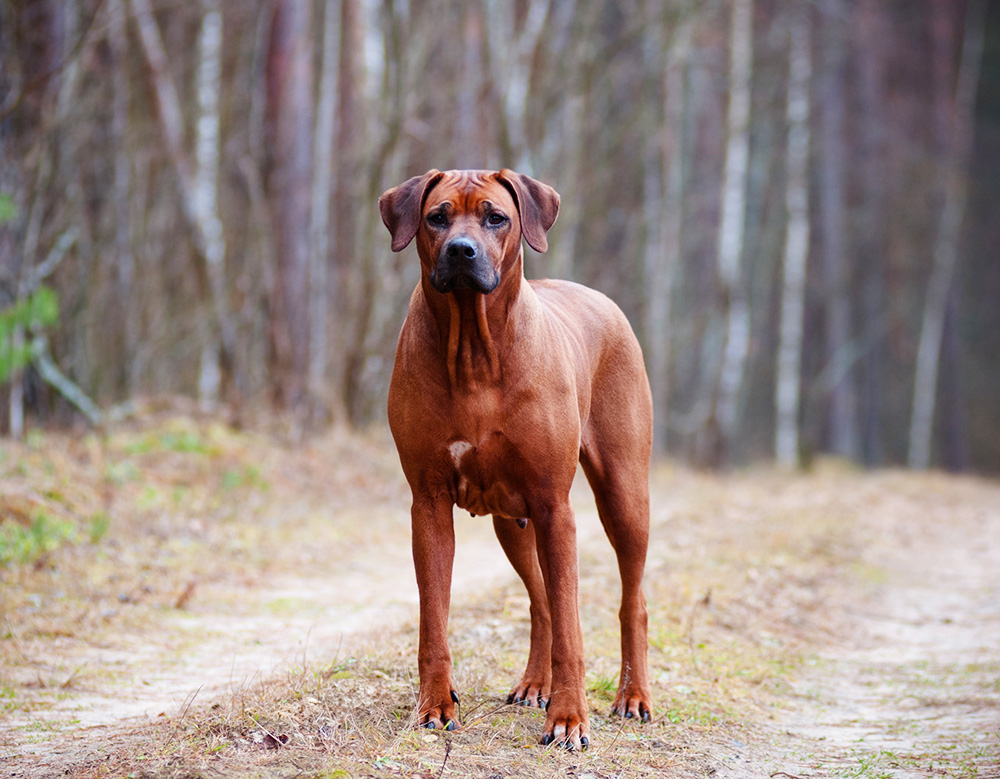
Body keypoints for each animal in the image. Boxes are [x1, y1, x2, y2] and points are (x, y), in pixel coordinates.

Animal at [378, 169, 652, 748]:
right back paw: (534, 684)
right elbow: (433, 619)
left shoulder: (555, 507)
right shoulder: (428, 504)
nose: (461, 252)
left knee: (631, 601)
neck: (475, 348)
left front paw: (569, 719)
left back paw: (633, 696)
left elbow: (573, 628)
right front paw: (434, 705)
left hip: (623, 493)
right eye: (436, 217)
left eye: (495, 218)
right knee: (541, 601)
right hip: (512, 519)